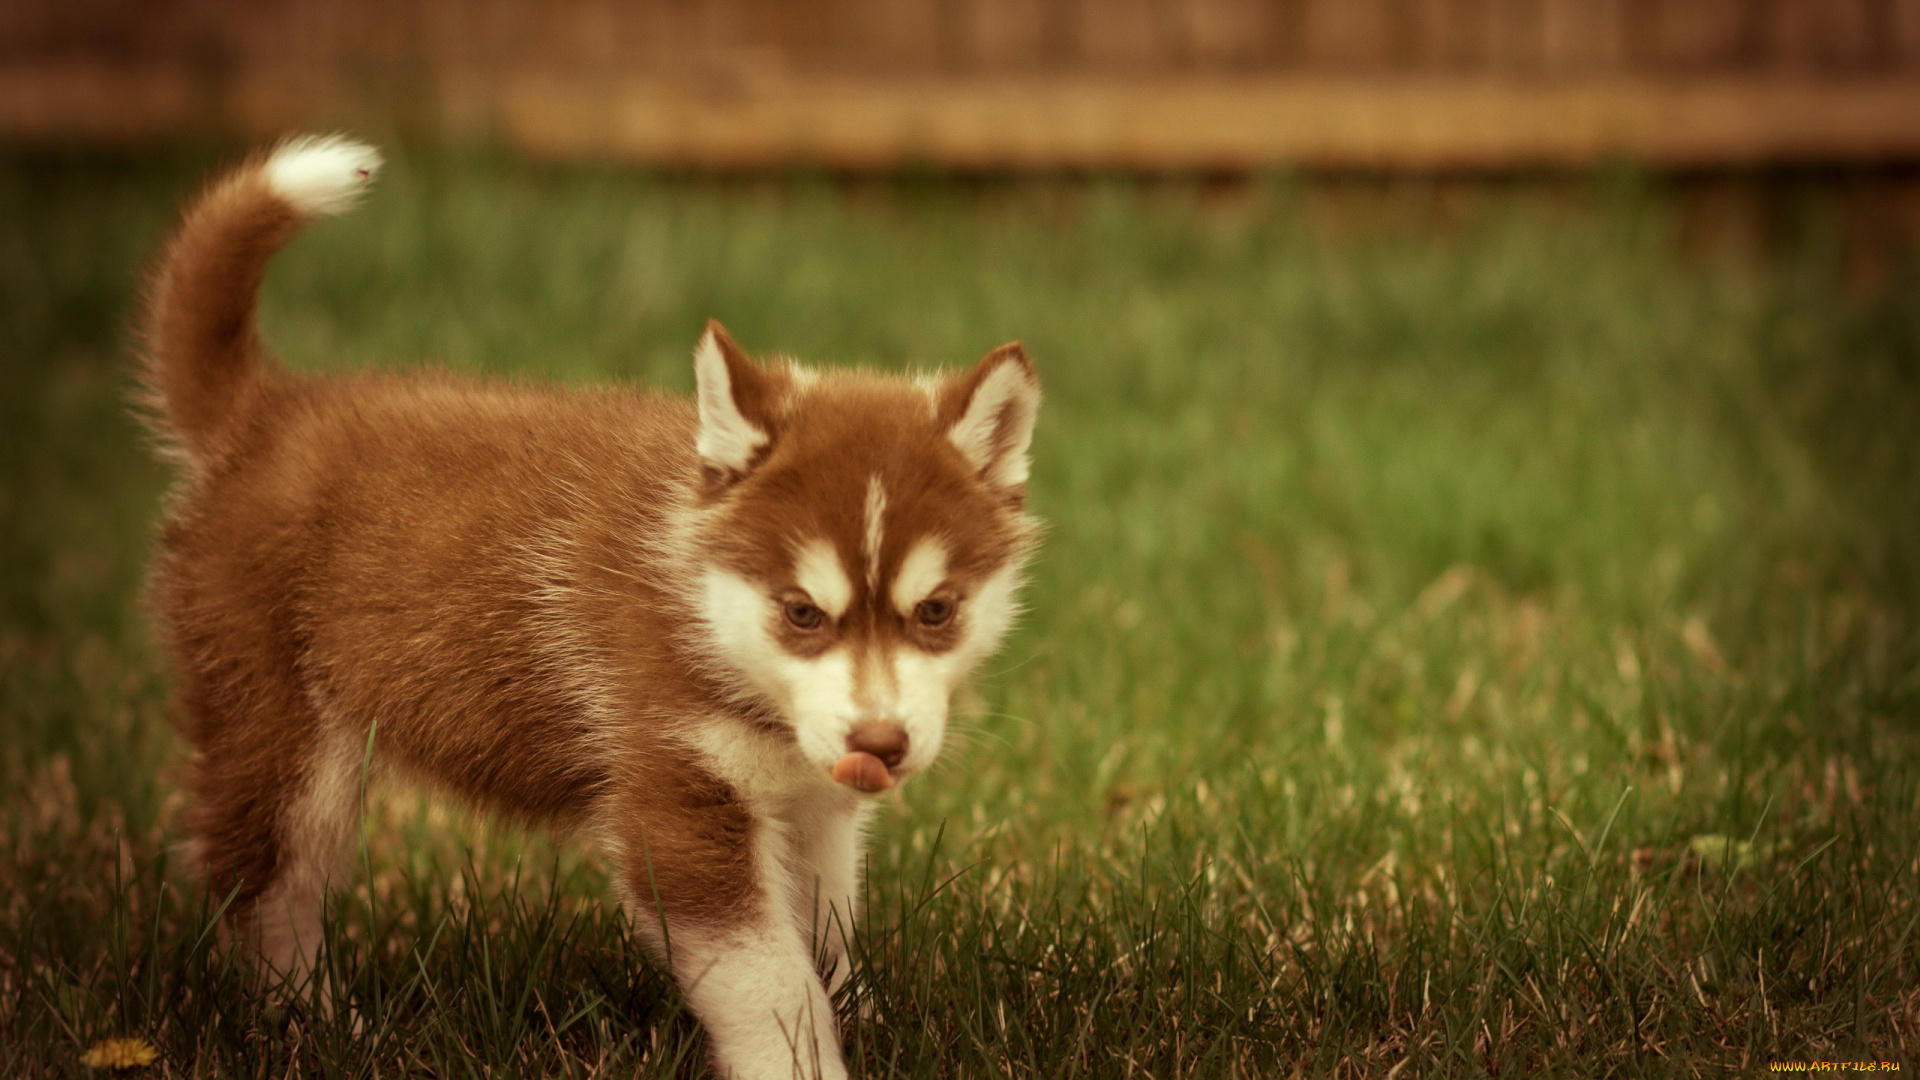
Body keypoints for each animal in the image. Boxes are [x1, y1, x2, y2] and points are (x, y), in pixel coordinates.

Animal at [137, 136, 1044, 1076]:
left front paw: (862, 1016)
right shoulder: (677, 801)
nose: (881, 744)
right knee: (264, 886)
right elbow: (769, 977)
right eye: (801, 613)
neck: (700, 603)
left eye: (936, 611)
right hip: (283, 733)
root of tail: (265, 413)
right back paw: (316, 1027)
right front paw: (803, 1062)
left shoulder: (811, 808)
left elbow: (822, 933)